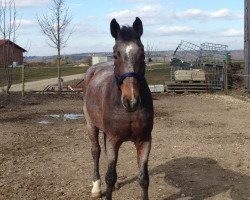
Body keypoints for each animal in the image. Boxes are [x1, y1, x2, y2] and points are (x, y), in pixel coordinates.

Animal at [83, 17, 154, 200]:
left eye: (142, 53)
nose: (131, 100)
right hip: (90, 125)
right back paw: (96, 187)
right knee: (96, 151)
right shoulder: (113, 139)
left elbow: (143, 178)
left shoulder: (144, 140)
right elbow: (110, 176)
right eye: (115, 54)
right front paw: (105, 186)